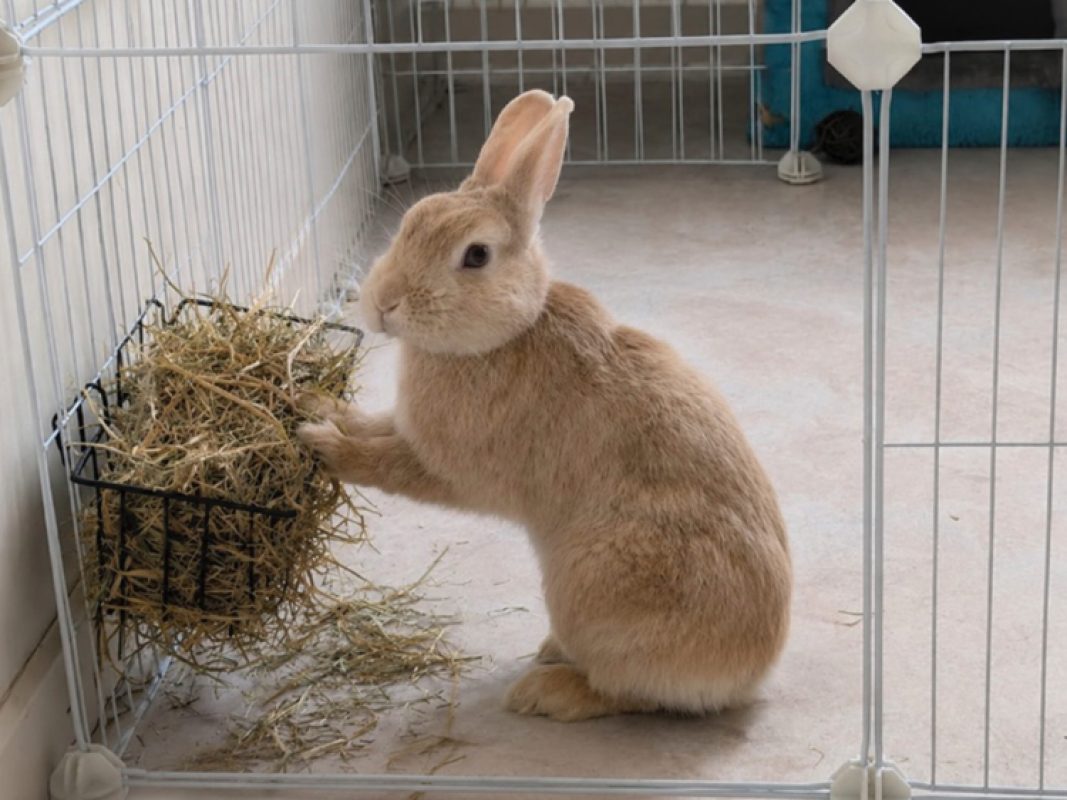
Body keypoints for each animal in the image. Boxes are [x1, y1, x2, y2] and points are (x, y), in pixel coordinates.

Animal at [297, 89, 791, 722]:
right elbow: (371, 425)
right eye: (412, 222)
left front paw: (322, 445)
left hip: (589, 588)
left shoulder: (446, 467)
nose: (383, 303)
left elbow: (383, 464)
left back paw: (543, 690)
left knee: (625, 693)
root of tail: (749, 675)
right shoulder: (407, 427)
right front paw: (314, 403)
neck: (506, 334)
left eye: (476, 256)